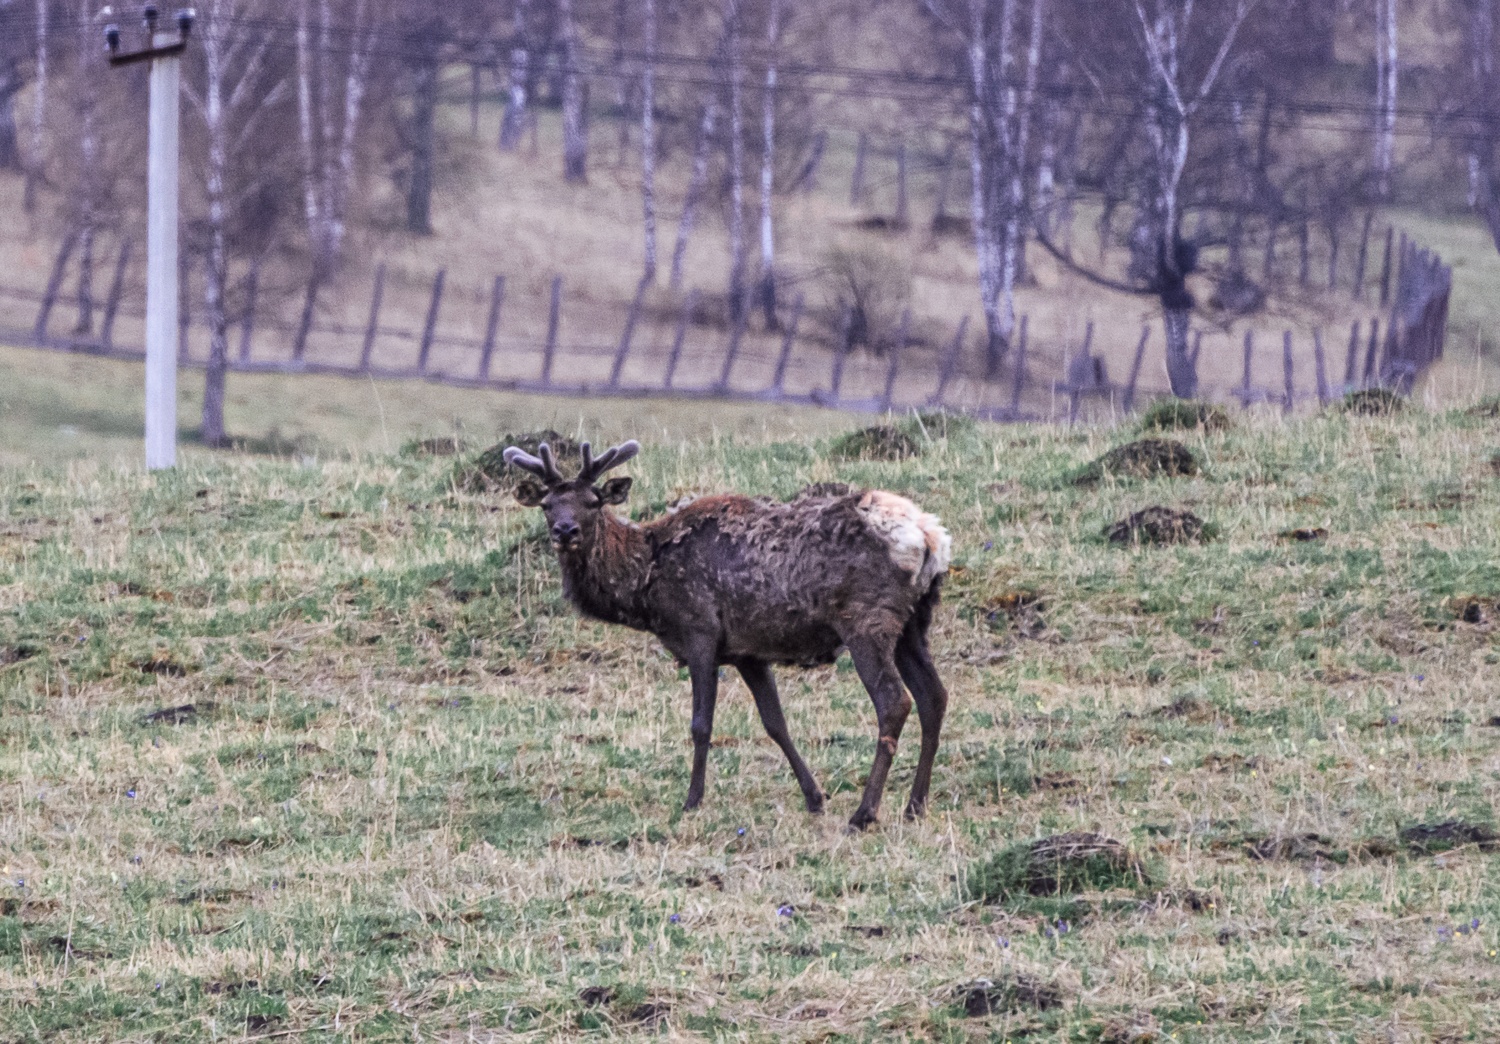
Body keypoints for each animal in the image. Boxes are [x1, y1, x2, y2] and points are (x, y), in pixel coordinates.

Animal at [504, 435, 948, 828]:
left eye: (593, 502)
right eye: (547, 504)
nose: (565, 531)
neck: (646, 587)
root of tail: (930, 538)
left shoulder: (699, 630)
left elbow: (701, 724)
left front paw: (692, 801)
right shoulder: (748, 651)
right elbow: (775, 723)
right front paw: (814, 797)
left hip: (867, 619)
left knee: (894, 701)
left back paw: (864, 814)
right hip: (914, 623)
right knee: (935, 696)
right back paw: (915, 806)